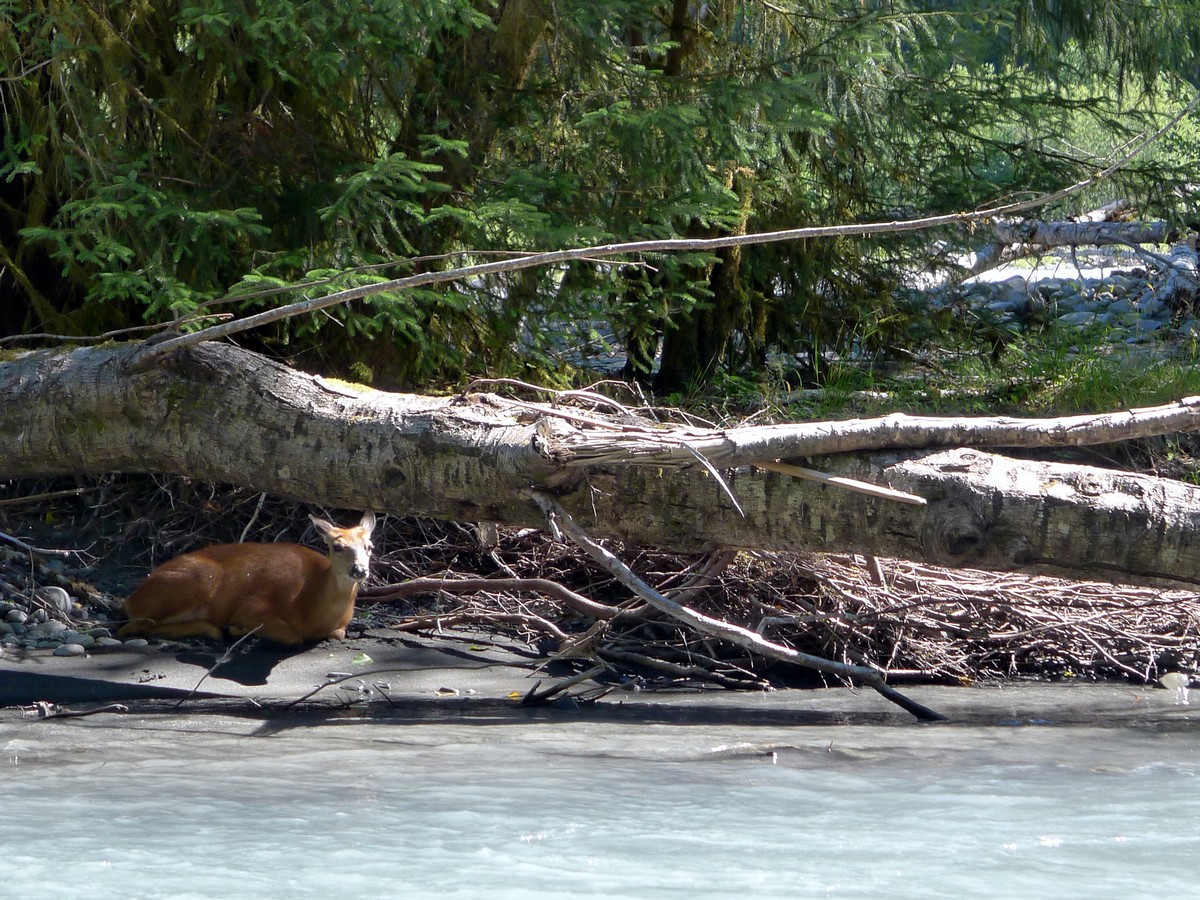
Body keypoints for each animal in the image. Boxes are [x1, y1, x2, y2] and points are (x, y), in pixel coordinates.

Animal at [121, 511, 374, 643]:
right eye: (337, 547)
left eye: (369, 546)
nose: (360, 570)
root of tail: (131, 600)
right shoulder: (252, 605)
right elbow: (292, 636)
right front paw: (239, 629)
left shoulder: (339, 626)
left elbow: (337, 634)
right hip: (202, 576)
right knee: (131, 627)